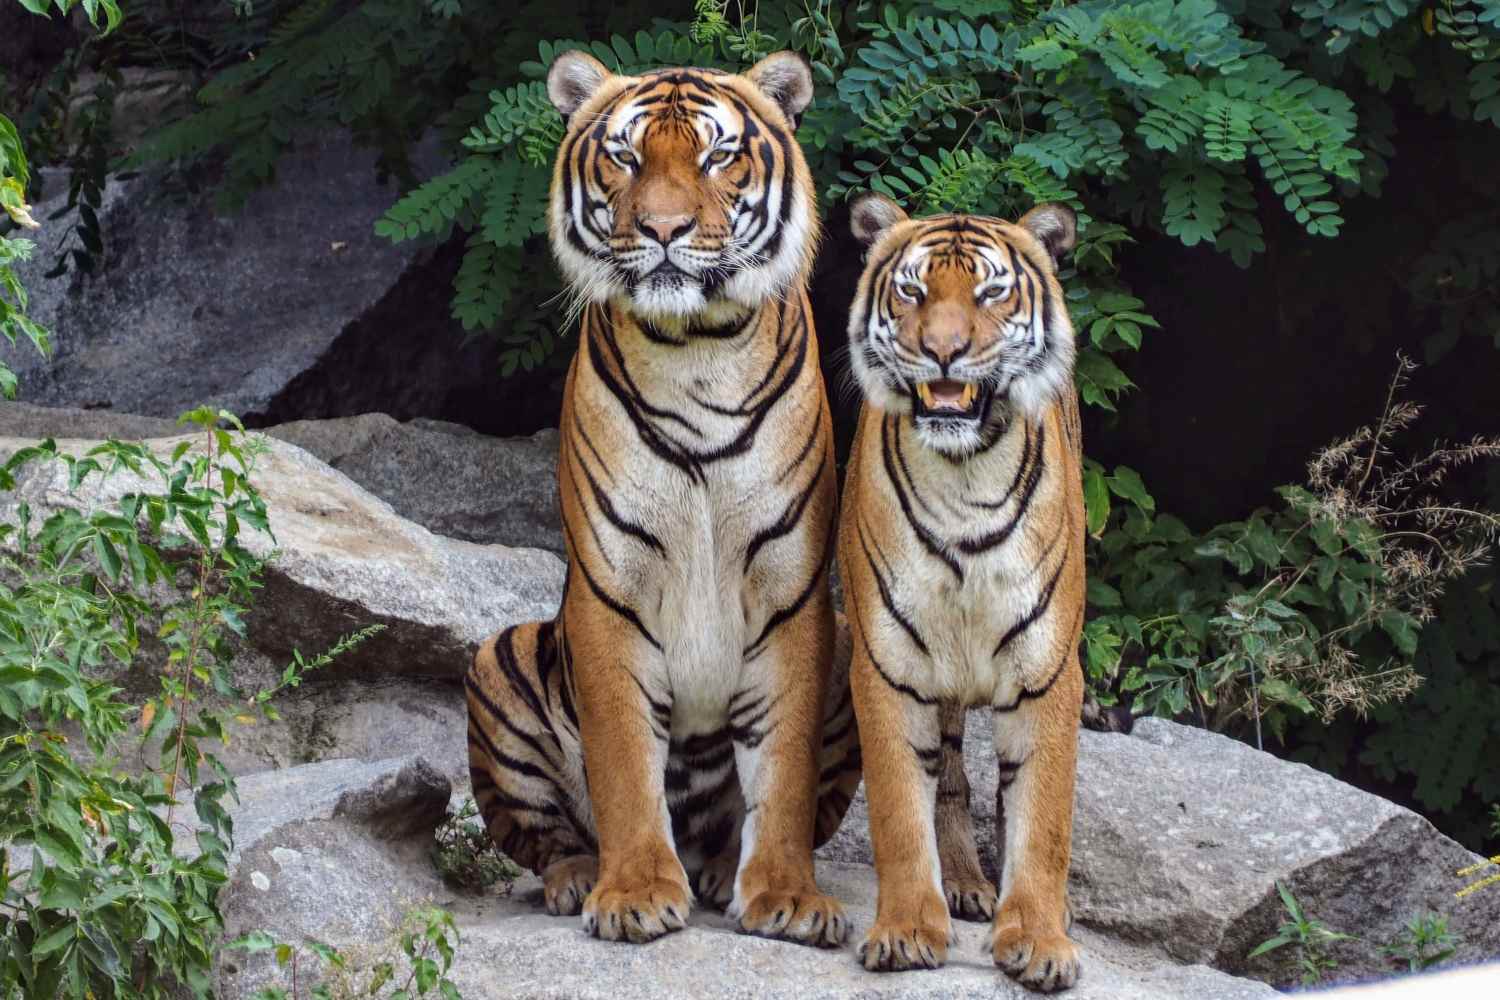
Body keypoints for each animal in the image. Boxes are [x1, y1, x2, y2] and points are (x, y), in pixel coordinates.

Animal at [463, 50, 861, 949]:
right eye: (626, 156)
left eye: (717, 157)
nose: (664, 230)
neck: (697, 349)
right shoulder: (611, 589)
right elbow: (621, 761)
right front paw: (636, 891)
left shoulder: (792, 593)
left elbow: (782, 773)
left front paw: (786, 895)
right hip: (499, 657)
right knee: (543, 836)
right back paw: (580, 876)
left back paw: (718, 870)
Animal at [835, 193, 1088, 991]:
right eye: (913, 292)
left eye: (990, 292)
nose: (943, 351)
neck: (964, 478)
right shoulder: (887, 667)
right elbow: (897, 808)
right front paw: (907, 929)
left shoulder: (1048, 674)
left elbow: (1042, 820)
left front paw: (1038, 939)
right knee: (948, 777)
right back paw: (965, 884)